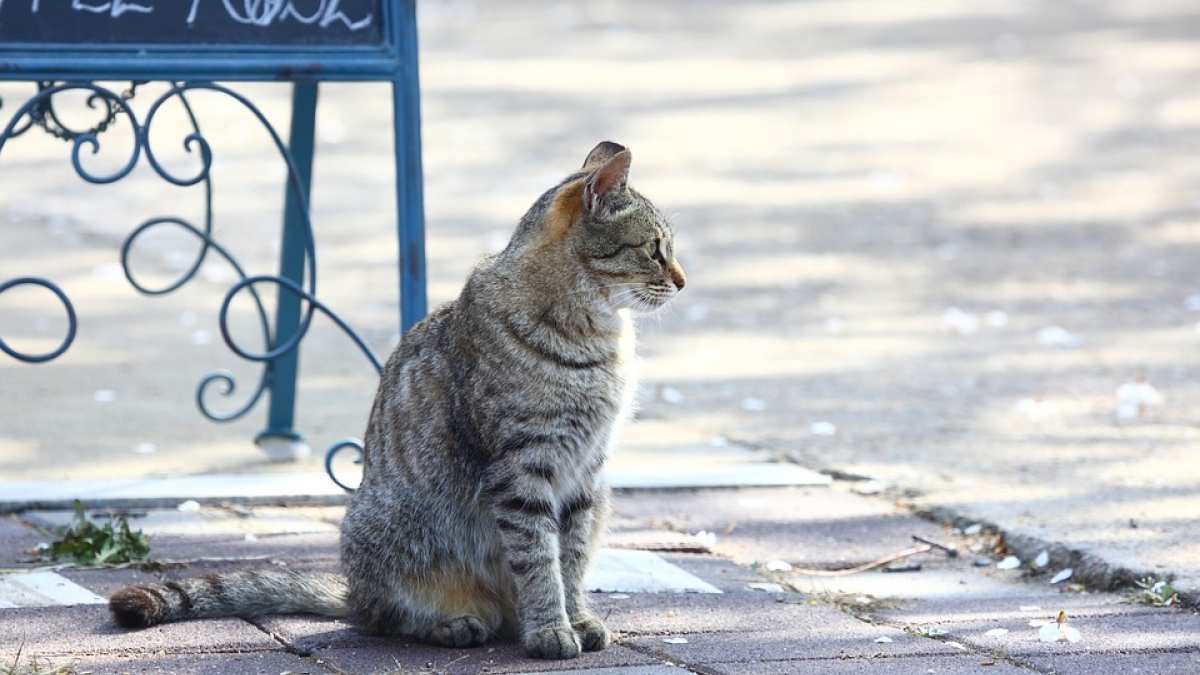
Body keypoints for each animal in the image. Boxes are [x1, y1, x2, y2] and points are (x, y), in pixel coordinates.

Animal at [108, 140, 691, 658]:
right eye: (654, 248)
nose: (684, 282)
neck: (598, 336)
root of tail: (351, 588)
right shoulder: (524, 467)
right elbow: (539, 559)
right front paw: (551, 628)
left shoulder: (587, 473)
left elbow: (570, 558)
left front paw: (578, 618)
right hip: (392, 535)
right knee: (382, 617)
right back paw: (454, 623)